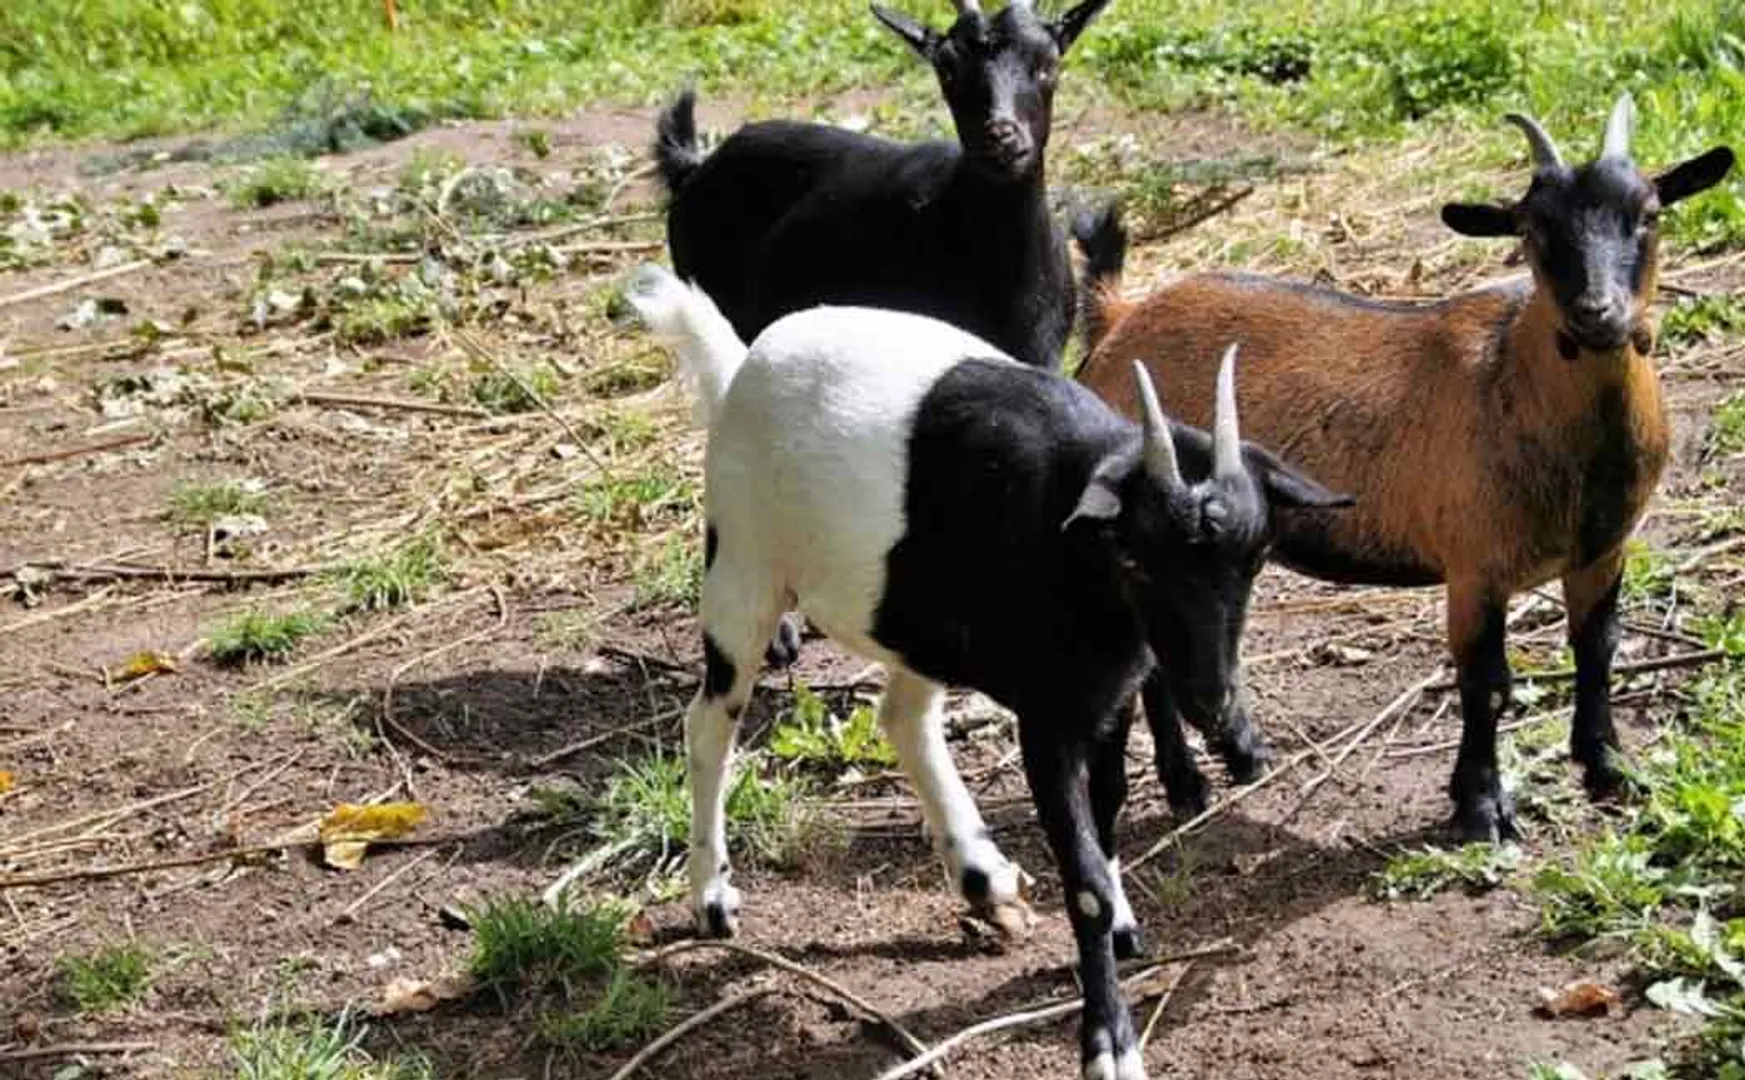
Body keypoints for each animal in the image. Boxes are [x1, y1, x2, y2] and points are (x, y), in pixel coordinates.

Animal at [624, 264, 1348, 1080]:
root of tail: (742, 366)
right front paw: (1109, 1044)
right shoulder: (1049, 716)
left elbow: (1104, 823)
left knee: (902, 718)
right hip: (743, 570)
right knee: (709, 725)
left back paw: (981, 876)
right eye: (1136, 559)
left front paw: (1120, 931)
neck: (1073, 541)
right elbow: (1085, 883)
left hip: (913, 621)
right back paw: (712, 898)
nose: (1212, 700)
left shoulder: (1106, 701)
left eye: (1255, 556)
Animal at [1076, 95, 1736, 841]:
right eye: (1534, 226)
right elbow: (1486, 685)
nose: (1597, 314)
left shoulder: (1602, 551)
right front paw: (1481, 809)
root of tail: (1117, 320)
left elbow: (1597, 648)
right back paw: (1190, 782)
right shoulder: (1475, 567)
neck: (1513, 376)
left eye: (1648, 213)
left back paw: (1231, 760)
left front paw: (1608, 768)